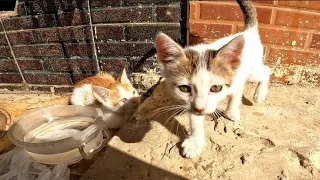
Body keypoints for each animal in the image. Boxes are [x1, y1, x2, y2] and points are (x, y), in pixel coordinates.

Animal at [155, 0, 270, 158]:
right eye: (184, 88)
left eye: (216, 88)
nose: (200, 108)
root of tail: (248, 32)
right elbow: (195, 120)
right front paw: (195, 142)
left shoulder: (234, 78)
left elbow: (235, 94)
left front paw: (232, 110)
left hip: (253, 70)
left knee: (266, 72)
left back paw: (259, 94)